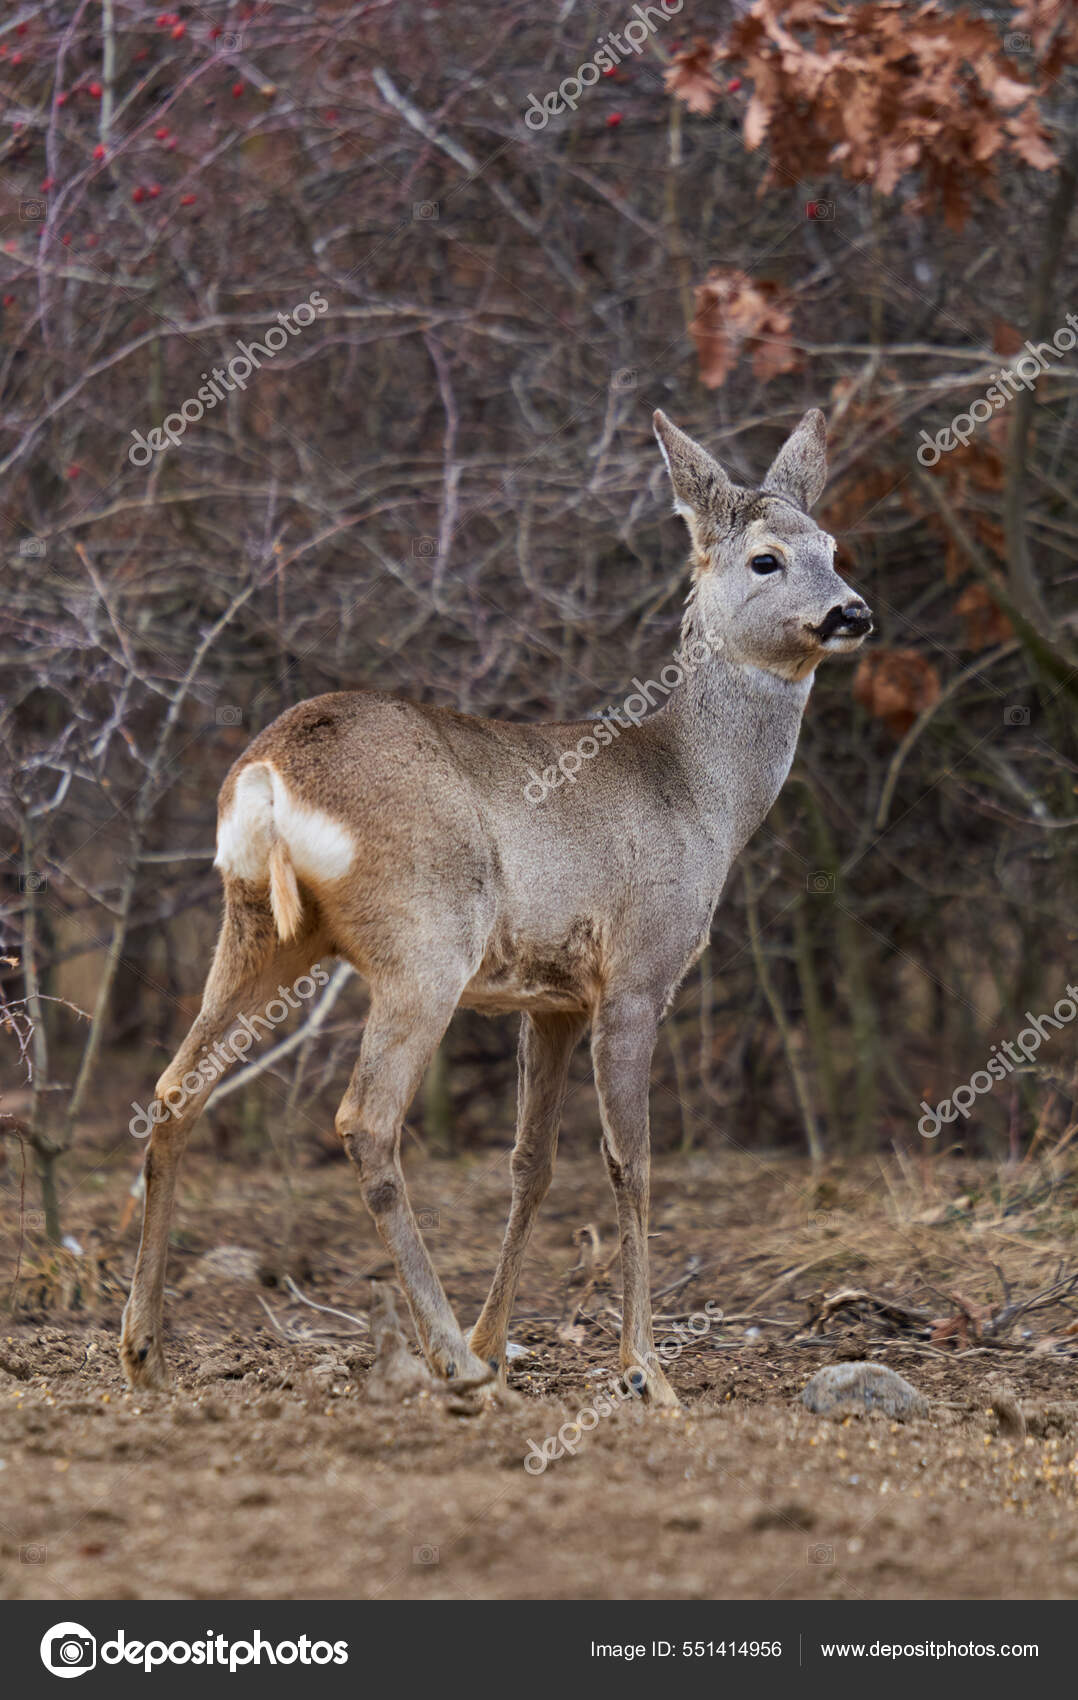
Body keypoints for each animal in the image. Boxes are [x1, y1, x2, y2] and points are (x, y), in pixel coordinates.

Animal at [121, 408, 870, 1407]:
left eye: (832, 546)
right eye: (766, 559)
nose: (852, 611)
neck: (698, 796)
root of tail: (271, 773)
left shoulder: (551, 1000)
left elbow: (531, 1165)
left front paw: (505, 1335)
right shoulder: (638, 974)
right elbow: (631, 1164)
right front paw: (645, 1371)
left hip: (256, 930)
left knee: (177, 1088)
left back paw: (146, 1353)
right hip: (422, 943)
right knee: (366, 1122)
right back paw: (452, 1359)